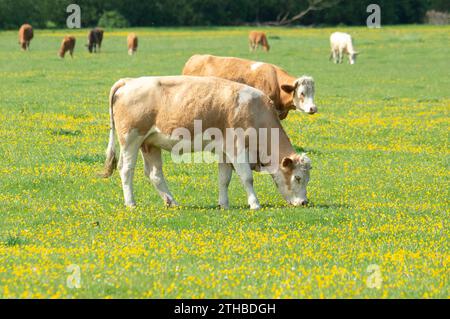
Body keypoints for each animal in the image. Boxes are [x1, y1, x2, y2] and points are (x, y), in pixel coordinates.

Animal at [103, 75, 312, 210]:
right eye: (298, 178)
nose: (304, 202)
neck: (255, 110)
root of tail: (128, 81)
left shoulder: (224, 152)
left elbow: (224, 179)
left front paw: (224, 204)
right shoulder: (236, 148)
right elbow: (246, 177)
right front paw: (254, 203)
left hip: (150, 144)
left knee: (155, 174)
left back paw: (172, 202)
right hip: (131, 139)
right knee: (126, 169)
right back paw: (131, 203)